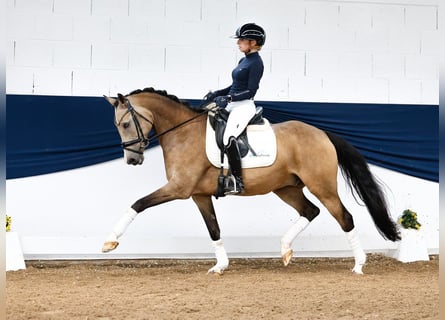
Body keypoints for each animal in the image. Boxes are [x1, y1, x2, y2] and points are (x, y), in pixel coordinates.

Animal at [101, 87, 398, 276]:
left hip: (322, 186)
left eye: (125, 124)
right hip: (286, 188)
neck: (183, 133)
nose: (132, 159)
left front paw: (110, 241)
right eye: (117, 125)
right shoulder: (198, 195)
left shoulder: (179, 189)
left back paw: (358, 265)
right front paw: (220, 266)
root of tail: (322, 133)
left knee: (344, 217)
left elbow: (138, 203)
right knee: (310, 210)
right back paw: (285, 250)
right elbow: (214, 229)